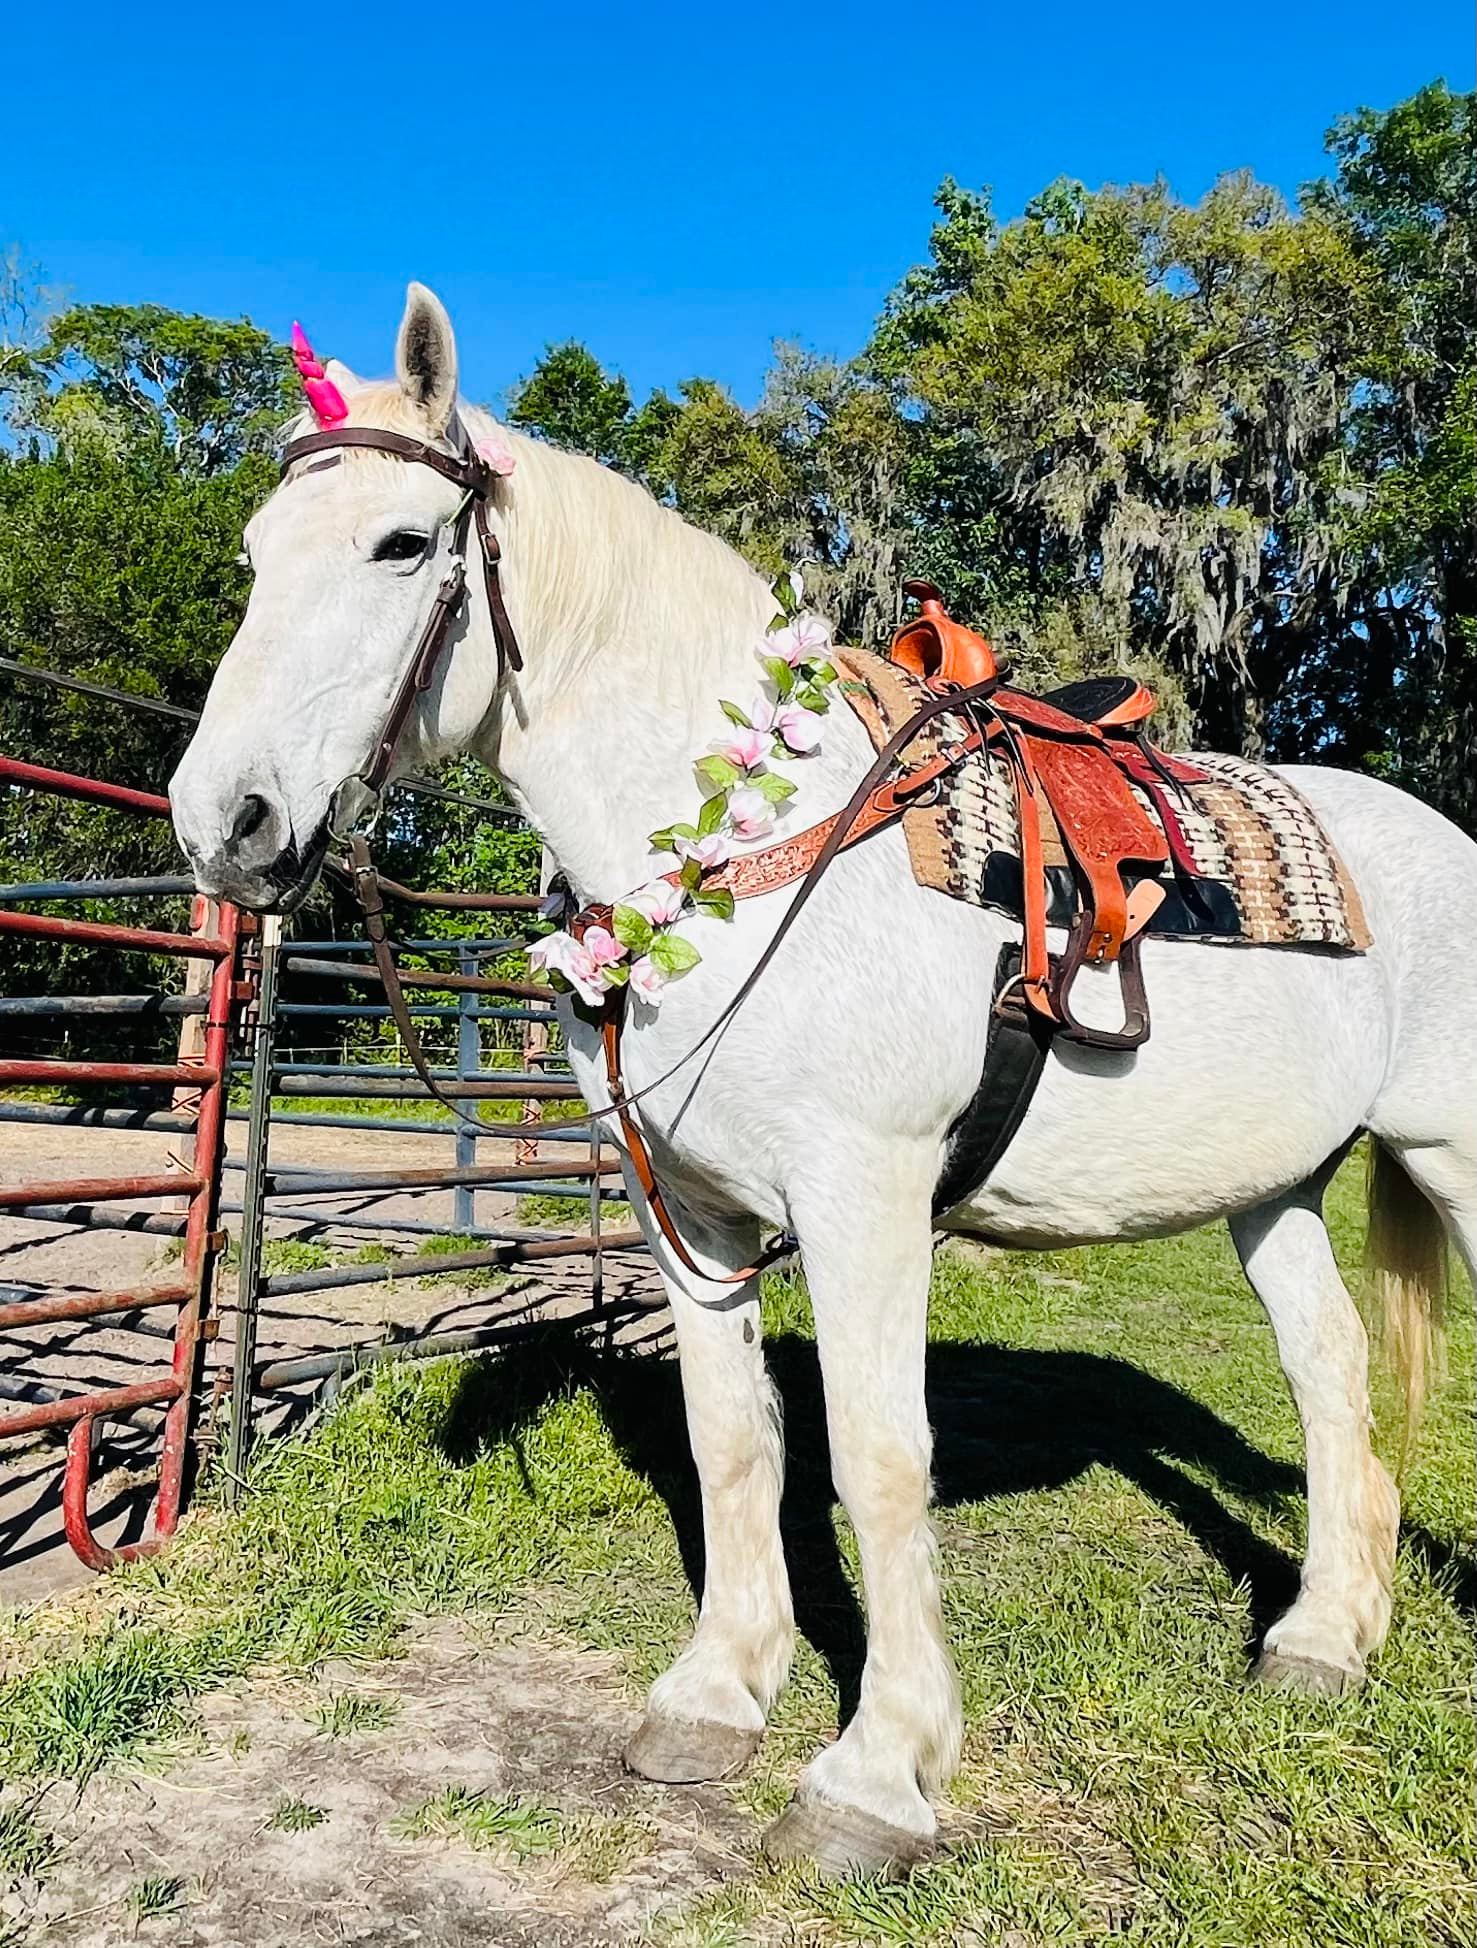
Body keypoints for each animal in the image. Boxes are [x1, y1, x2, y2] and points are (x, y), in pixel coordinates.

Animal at [170, 284, 1473, 1870]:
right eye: (254, 558)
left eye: (402, 545)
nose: (222, 823)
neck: (742, 847)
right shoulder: (693, 1216)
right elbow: (734, 1440)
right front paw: (718, 1695)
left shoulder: (866, 1199)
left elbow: (876, 1456)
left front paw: (879, 1772)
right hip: (1273, 1187)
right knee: (1328, 1368)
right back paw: (1322, 1640)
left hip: (1452, 1158)